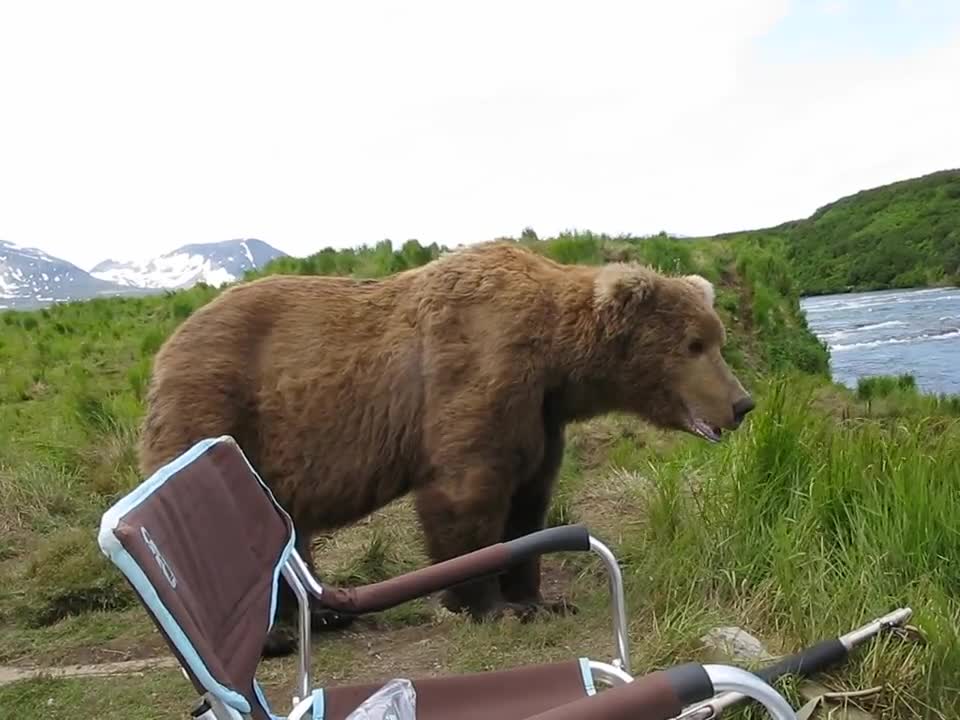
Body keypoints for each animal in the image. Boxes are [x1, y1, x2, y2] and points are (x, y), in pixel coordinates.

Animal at [137, 239, 752, 656]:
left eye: (716, 338)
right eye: (693, 344)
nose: (742, 403)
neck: (557, 359)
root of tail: (166, 346)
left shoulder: (539, 415)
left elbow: (529, 501)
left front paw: (540, 599)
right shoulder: (476, 373)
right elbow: (466, 497)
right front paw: (488, 606)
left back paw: (325, 613)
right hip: (218, 411)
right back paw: (275, 636)